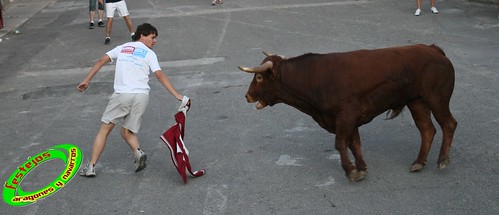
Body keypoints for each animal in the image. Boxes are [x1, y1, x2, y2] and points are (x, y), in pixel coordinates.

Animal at [238, 43, 458, 181]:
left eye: (259, 77)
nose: (247, 96)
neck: (312, 77)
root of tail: (434, 50)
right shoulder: (349, 120)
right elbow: (354, 144)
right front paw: (361, 168)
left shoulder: (346, 116)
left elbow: (341, 143)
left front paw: (351, 171)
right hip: (417, 102)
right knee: (427, 130)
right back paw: (419, 162)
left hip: (436, 99)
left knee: (448, 124)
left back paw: (442, 161)